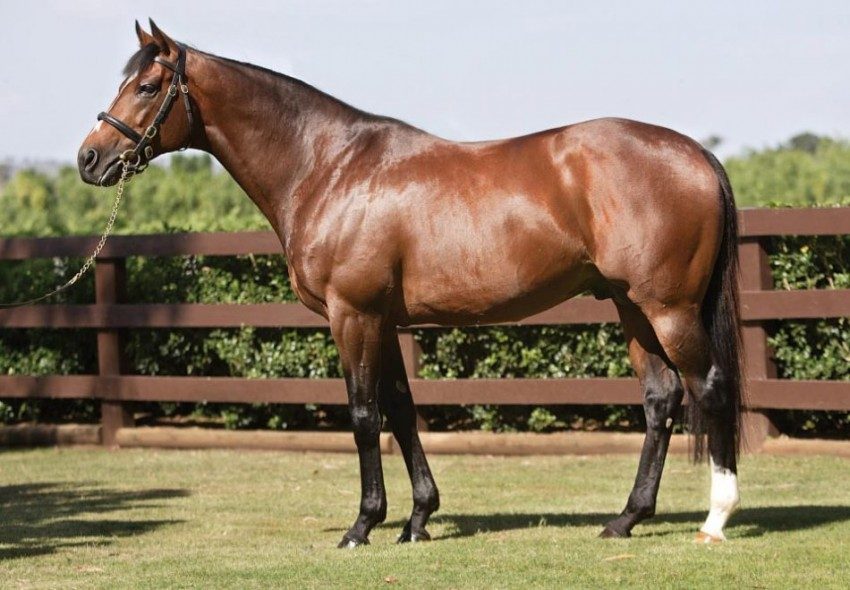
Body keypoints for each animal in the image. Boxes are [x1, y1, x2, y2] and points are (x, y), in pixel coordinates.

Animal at [78, 20, 743, 547]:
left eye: (146, 87)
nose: (90, 158)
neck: (328, 167)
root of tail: (696, 155)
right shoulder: (385, 319)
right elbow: (400, 408)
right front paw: (418, 519)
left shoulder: (352, 315)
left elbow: (363, 413)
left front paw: (362, 525)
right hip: (632, 307)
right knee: (661, 398)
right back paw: (625, 519)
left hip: (668, 308)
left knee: (708, 387)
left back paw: (715, 519)